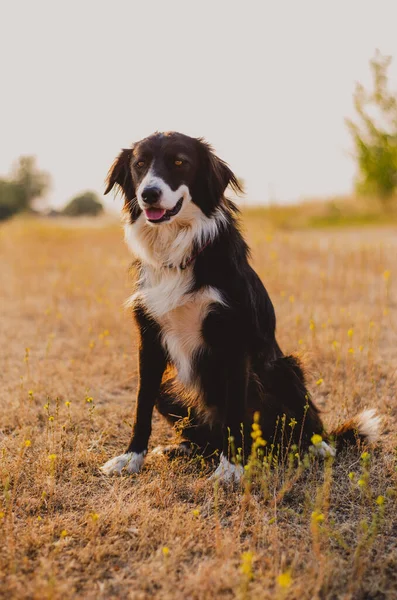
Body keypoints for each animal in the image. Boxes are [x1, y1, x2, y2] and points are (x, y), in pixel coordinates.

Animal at [100, 132, 380, 482]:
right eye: (139, 165)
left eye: (179, 162)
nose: (149, 194)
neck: (179, 252)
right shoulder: (149, 339)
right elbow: (141, 403)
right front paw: (131, 458)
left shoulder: (233, 341)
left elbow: (234, 410)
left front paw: (231, 469)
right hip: (171, 388)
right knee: (206, 437)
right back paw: (182, 449)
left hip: (284, 368)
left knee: (304, 426)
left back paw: (318, 448)